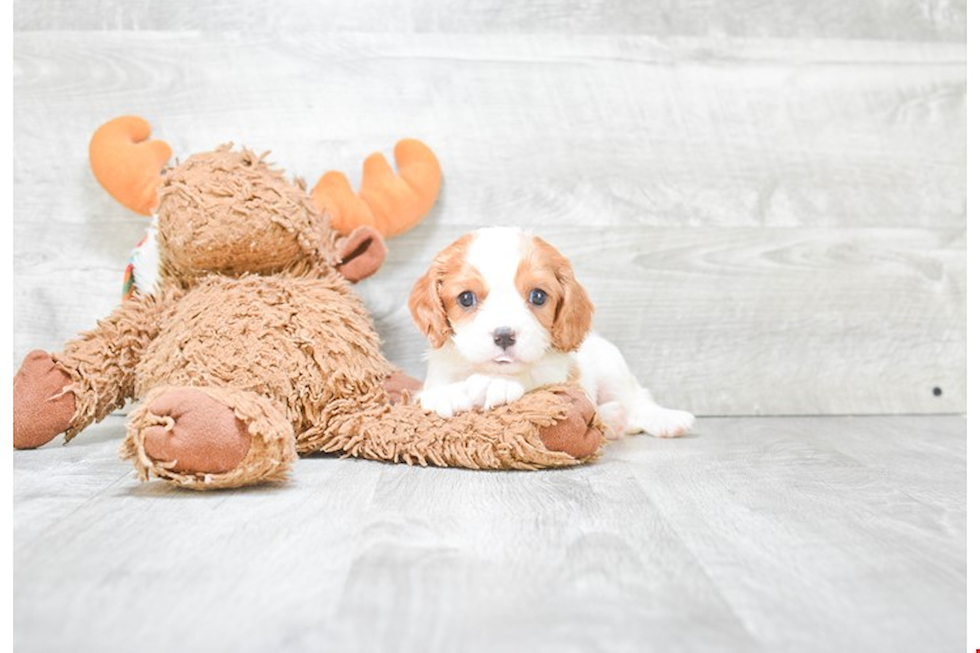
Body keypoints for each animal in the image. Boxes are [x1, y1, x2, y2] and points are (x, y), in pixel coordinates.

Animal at [406, 225, 696, 438]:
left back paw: (664, 419)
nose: (504, 336)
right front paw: (445, 394)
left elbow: (535, 380)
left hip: (613, 369)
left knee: (637, 398)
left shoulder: (558, 377)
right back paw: (615, 419)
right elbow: (433, 391)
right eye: (466, 298)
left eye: (538, 296)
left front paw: (497, 383)